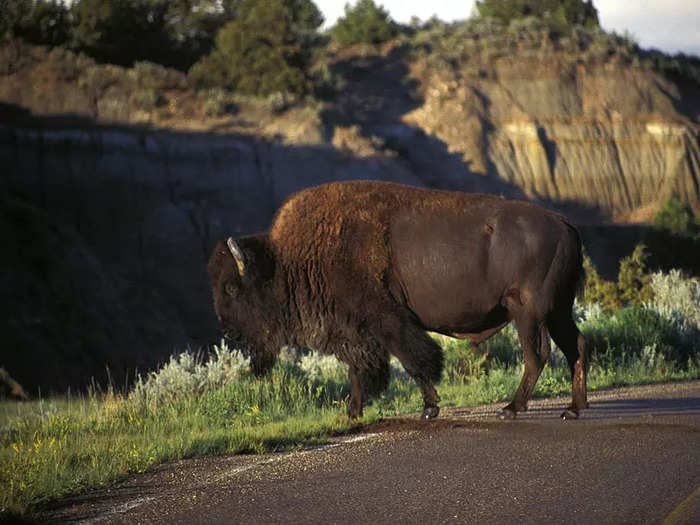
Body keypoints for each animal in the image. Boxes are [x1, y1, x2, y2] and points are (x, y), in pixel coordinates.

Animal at [206, 182, 584, 420]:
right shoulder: (356, 332)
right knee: (575, 347)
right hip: (558, 311)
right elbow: (361, 370)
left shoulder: (386, 321)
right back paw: (572, 409)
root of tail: (563, 223)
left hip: (528, 313)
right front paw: (353, 413)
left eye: (232, 288)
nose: (228, 332)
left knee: (538, 355)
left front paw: (429, 408)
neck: (286, 262)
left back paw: (512, 408)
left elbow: (413, 360)